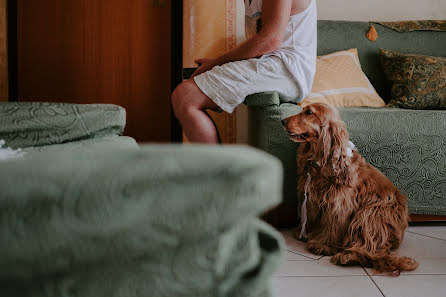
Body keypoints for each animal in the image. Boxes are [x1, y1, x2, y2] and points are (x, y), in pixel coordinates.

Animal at [282, 103, 418, 274]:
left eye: (308, 112)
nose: (282, 121)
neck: (322, 160)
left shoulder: (339, 204)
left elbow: (333, 225)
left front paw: (323, 245)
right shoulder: (312, 198)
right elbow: (311, 217)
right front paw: (304, 231)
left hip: (371, 212)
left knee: (370, 248)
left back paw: (347, 256)